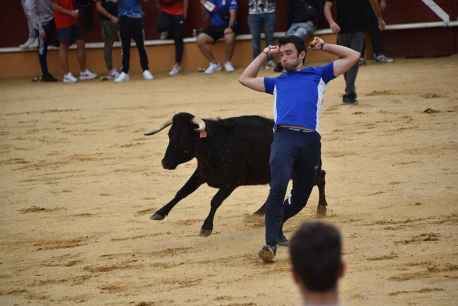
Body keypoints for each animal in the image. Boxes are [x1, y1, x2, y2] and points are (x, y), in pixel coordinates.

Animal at [145, 113, 328, 237]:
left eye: (184, 138)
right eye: (170, 134)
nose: (165, 163)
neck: (214, 144)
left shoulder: (231, 182)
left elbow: (215, 201)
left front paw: (206, 227)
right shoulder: (201, 174)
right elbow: (182, 192)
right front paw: (159, 213)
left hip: (306, 171)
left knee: (320, 178)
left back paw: (321, 208)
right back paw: (259, 212)